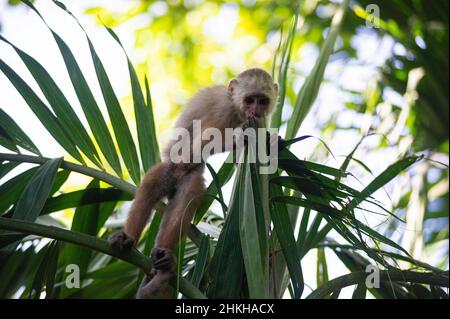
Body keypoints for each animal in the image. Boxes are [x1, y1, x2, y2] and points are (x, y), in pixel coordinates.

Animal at [109, 68, 278, 300]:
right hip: (169, 170)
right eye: (250, 100)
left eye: (262, 100)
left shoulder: (262, 120)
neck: (237, 109)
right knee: (154, 185)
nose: (256, 110)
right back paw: (127, 238)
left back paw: (164, 258)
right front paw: (239, 135)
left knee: (188, 194)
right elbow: (198, 143)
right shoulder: (224, 110)